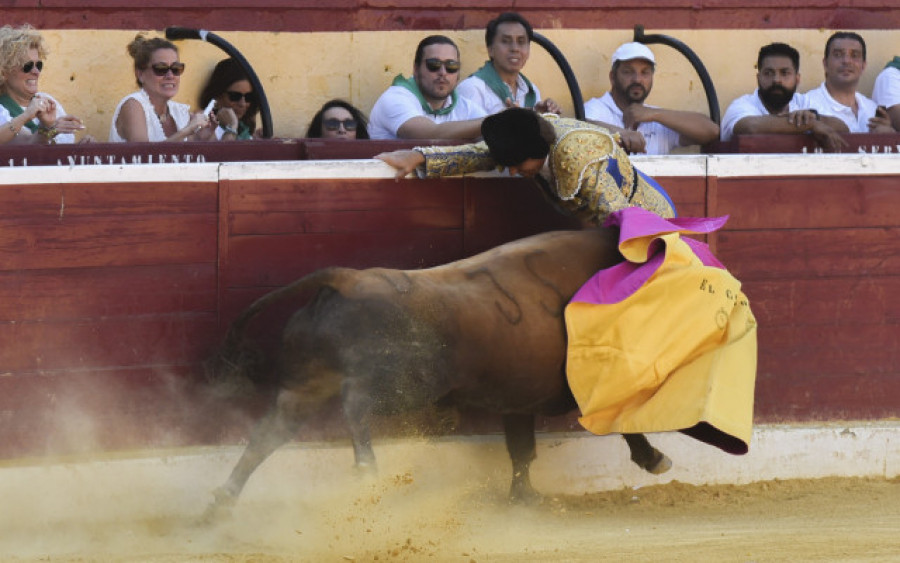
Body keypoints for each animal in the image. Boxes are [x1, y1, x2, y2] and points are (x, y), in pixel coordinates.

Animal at [207, 227, 672, 516]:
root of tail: (347, 279)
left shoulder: (516, 400)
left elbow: (522, 449)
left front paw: (524, 498)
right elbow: (629, 424)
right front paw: (655, 459)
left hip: (304, 385)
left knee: (267, 435)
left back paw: (220, 505)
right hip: (405, 383)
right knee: (354, 404)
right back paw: (366, 467)